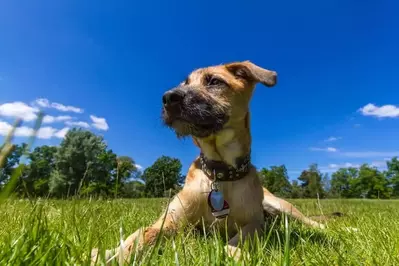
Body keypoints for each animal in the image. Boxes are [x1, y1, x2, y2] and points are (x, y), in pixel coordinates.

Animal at [91, 59, 328, 264]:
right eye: (184, 83)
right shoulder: (171, 220)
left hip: (281, 206)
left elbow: (241, 237)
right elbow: (142, 234)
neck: (219, 173)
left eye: (214, 81)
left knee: (314, 222)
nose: (168, 98)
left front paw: (233, 254)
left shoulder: (255, 223)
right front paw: (111, 254)